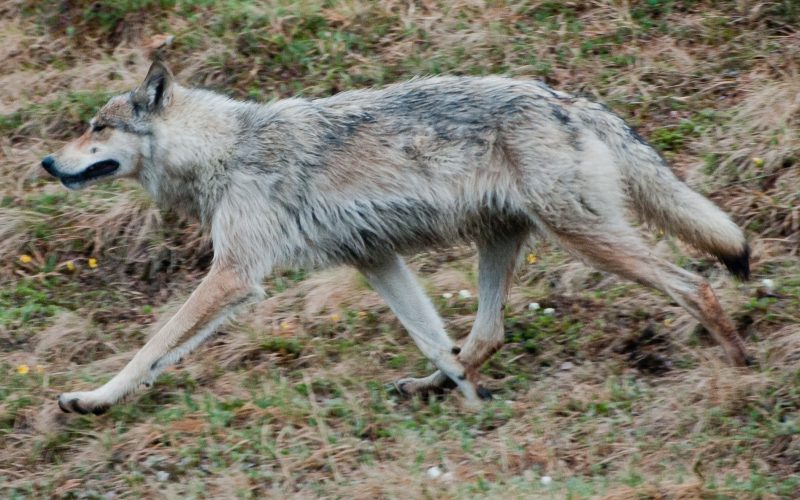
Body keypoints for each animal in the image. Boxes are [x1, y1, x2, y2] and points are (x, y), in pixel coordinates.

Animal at [42, 61, 752, 414]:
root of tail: (570, 100)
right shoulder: (375, 260)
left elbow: (150, 348)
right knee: (484, 337)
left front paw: (93, 399)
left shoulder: (235, 276)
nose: (48, 162)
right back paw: (436, 388)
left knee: (693, 286)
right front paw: (470, 401)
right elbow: (434, 338)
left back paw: (742, 367)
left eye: (97, 128)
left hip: (586, 237)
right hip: (501, 243)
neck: (227, 151)